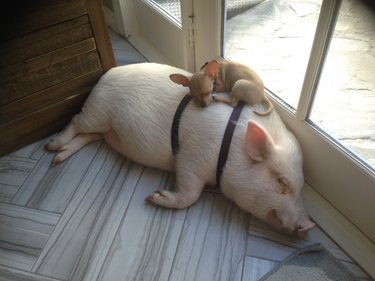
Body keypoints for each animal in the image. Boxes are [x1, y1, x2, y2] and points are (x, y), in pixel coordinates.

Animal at [46, 62, 318, 233]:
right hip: (97, 112)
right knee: (75, 121)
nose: (309, 224)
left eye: (300, 185)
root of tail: (106, 75)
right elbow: (190, 195)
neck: (229, 151)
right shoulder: (191, 158)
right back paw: (51, 148)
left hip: (103, 129)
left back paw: (59, 158)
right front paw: (153, 197)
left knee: (88, 137)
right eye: (282, 182)